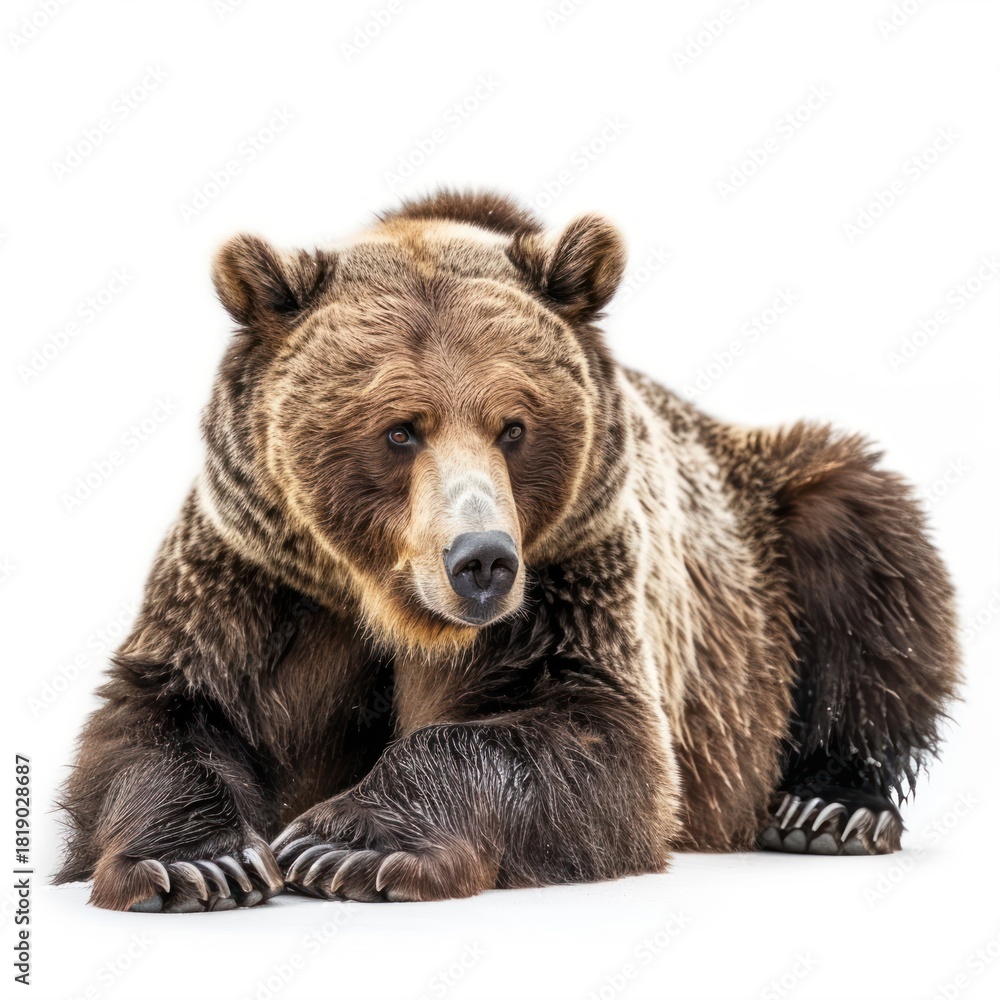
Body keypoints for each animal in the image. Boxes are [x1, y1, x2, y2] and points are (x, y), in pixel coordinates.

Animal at [55, 190, 960, 911]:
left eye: (514, 425)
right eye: (400, 429)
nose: (482, 560)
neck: (393, 606)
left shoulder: (573, 574)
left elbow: (593, 739)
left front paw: (344, 841)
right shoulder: (258, 577)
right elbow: (166, 710)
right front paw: (199, 865)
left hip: (765, 532)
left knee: (868, 551)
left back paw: (831, 806)